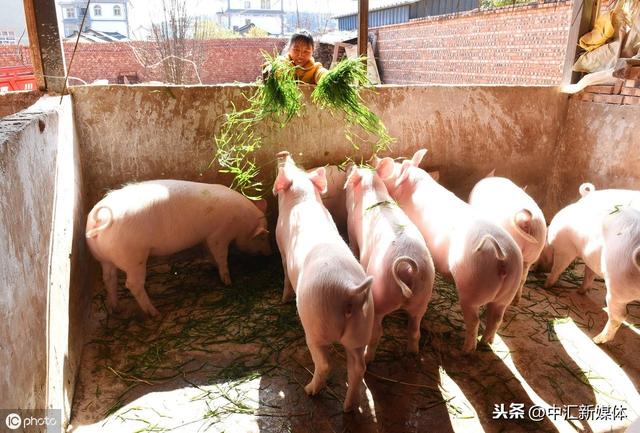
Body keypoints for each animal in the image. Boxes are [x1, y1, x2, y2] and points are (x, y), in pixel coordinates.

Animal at [85, 178, 270, 314]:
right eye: (262, 238)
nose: (270, 253)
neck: (242, 223)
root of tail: (99, 219)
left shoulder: (206, 238)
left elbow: (209, 253)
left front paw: (212, 266)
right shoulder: (219, 235)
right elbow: (221, 257)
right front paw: (228, 281)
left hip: (103, 257)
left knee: (109, 278)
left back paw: (114, 308)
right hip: (134, 257)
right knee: (132, 284)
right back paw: (154, 313)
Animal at [272, 150, 372, 410]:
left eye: (288, 169)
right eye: (298, 167)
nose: (283, 154)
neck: (303, 197)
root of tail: (349, 290)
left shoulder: (281, 248)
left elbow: (285, 274)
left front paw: (283, 299)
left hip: (314, 325)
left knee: (325, 364)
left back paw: (310, 390)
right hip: (361, 330)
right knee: (358, 368)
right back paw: (348, 408)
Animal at [344, 165, 436, 362]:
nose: (349, 166)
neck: (372, 187)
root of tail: (408, 268)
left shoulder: (350, 227)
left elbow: (354, 247)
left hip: (381, 294)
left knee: (376, 332)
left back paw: (368, 358)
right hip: (422, 298)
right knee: (414, 329)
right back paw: (412, 353)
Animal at [376, 148, 520, 352]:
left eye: (393, 169)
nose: (376, 160)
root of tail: (504, 259)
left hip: (472, 286)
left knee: (475, 320)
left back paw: (466, 350)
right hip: (507, 293)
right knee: (496, 318)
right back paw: (486, 343)